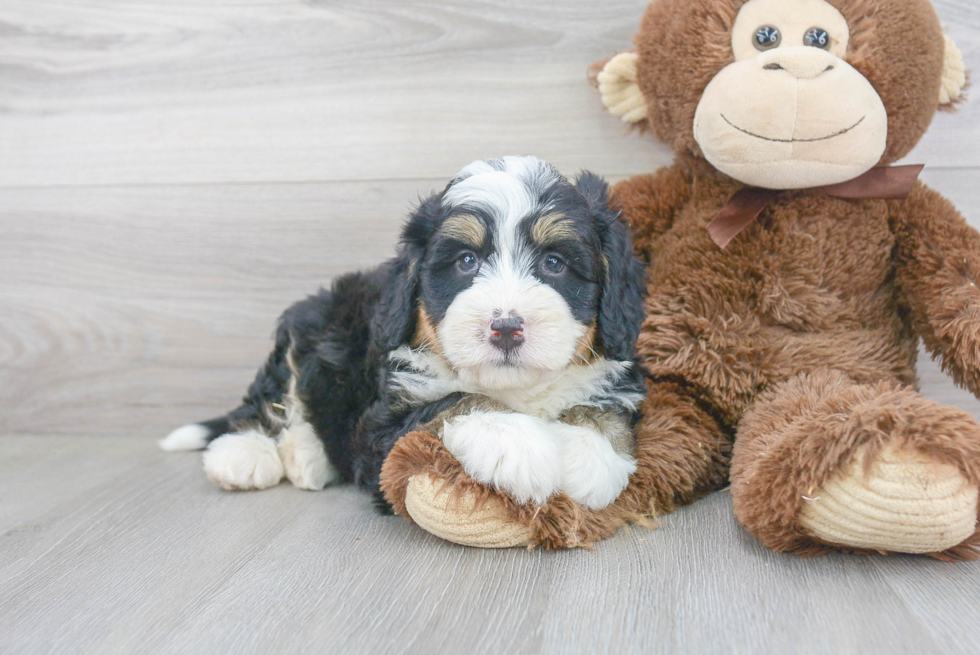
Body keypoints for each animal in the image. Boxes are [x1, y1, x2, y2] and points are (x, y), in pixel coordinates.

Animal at [159, 158, 652, 512]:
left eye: (554, 263)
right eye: (466, 262)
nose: (507, 327)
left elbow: (603, 410)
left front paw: (591, 456)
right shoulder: (382, 432)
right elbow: (456, 400)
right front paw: (517, 444)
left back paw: (310, 457)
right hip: (313, 323)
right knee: (274, 396)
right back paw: (246, 453)